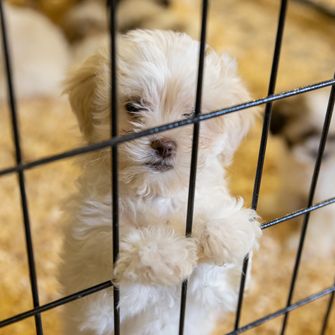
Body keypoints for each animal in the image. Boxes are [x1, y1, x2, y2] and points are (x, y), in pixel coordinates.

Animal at [59, 29, 262, 335]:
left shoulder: (220, 294)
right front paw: (167, 254)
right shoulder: (97, 291)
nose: (164, 145)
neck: (156, 193)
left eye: (193, 115)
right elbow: (121, 242)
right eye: (133, 106)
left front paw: (225, 229)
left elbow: (219, 275)